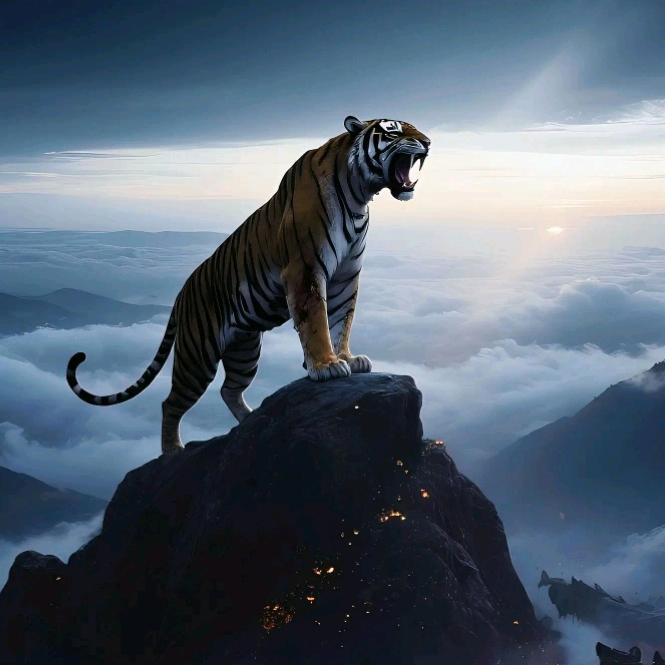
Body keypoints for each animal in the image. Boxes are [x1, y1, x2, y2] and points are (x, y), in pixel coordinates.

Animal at [66, 115, 430, 454]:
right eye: (394, 130)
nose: (428, 142)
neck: (359, 196)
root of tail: (181, 294)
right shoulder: (305, 269)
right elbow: (316, 322)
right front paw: (326, 366)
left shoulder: (346, 276)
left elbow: (342, 320)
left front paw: (348, 359)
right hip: (197, 356)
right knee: (171, 403)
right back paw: (172, 450)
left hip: (244, 349)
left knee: (229, 389)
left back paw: (251, 422)